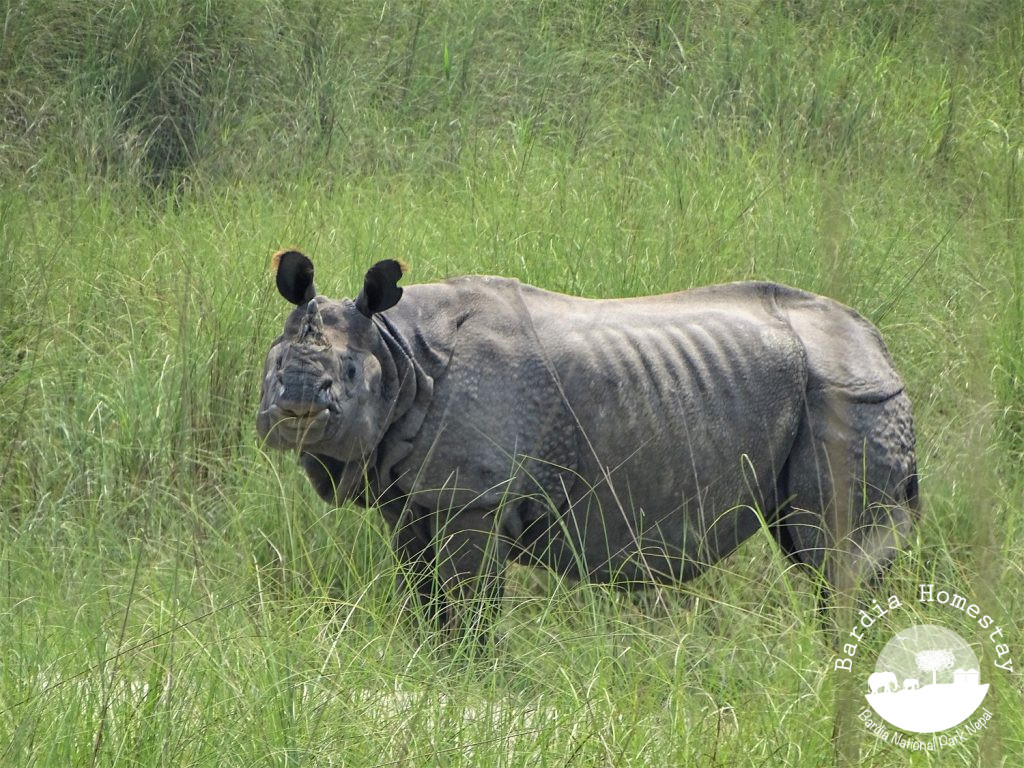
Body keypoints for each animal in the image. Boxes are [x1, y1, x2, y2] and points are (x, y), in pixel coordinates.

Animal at [257, 251, 918, 638]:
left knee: (838, 559)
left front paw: (469, 668)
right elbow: (423, 591)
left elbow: (468, 601)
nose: (294, 408)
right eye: (274, 363)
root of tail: (879, 345)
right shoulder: (412, 492)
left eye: (346, 376)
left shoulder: (473, 495)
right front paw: (430, 657)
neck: (398, 348)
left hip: (853, 395)